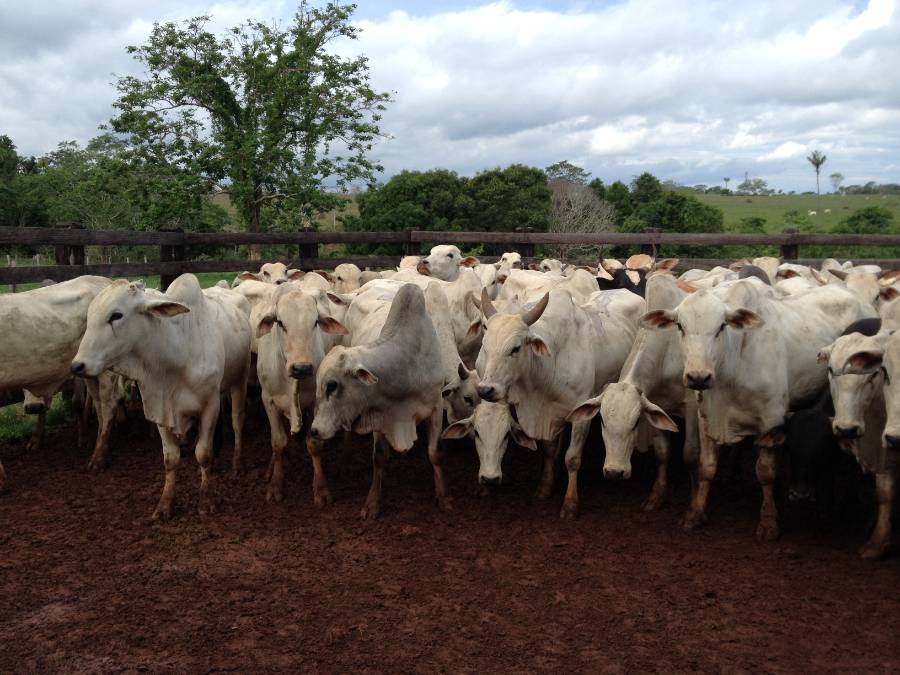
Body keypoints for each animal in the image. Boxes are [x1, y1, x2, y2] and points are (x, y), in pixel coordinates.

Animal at [71, 278, 250, 520]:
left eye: (116, 315)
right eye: (89, 317)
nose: (77, 365)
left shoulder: (209, 406)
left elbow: (203, 453)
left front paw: (206, 500)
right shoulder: (161, 410)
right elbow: (170, 458)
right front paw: (165, 504)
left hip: (240, 379)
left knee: (237, 422)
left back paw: (237, 464)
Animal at [310, 282, 450, 520]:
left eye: (332, 385)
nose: (314, 430)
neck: (407, 367)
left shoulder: (436, 407)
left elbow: (436, 453)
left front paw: (442, 498)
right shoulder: (378, 412)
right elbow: (379, 458)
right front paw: (372, 504)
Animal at [644, 278, 876, 540]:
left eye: (721, 326)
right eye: (680, 326)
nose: (698, 377)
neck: (734, 366)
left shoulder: (771, 420)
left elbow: (765, 473)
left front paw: (768, 521)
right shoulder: (706, 419)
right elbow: (707, 468)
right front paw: (695, 513)